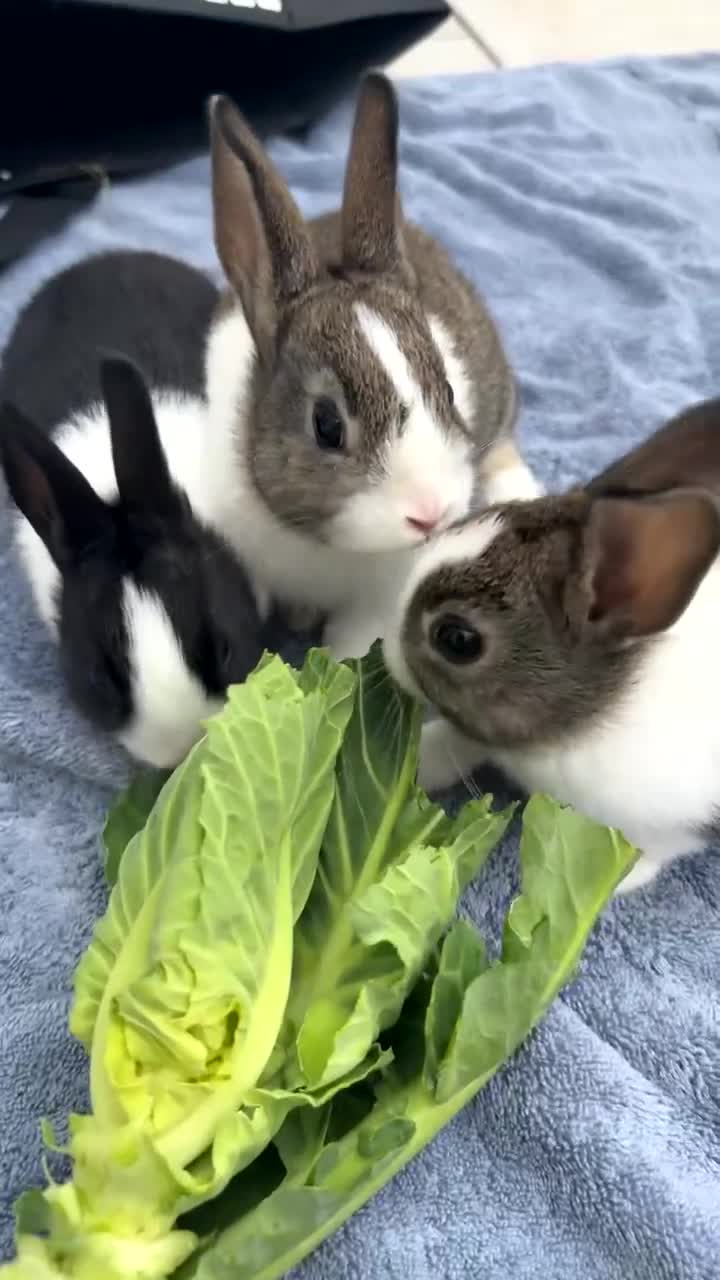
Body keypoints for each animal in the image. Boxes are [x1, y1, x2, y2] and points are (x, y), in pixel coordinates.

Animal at [382, 396, 720, 894]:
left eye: (457, 639)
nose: (386, 647)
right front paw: (422, 762)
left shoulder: (673, 823)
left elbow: (653, 849)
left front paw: (615, 880)